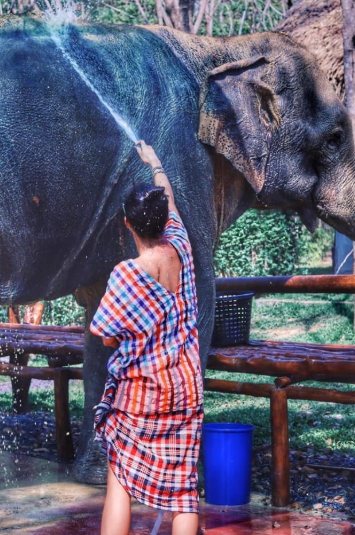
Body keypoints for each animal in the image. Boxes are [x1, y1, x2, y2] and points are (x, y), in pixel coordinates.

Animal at [0, 13, 355, 486]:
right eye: (334, 137)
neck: (218, 48)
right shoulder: (181, 159)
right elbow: (197, 294)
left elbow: (105, 315)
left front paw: (102, 475)